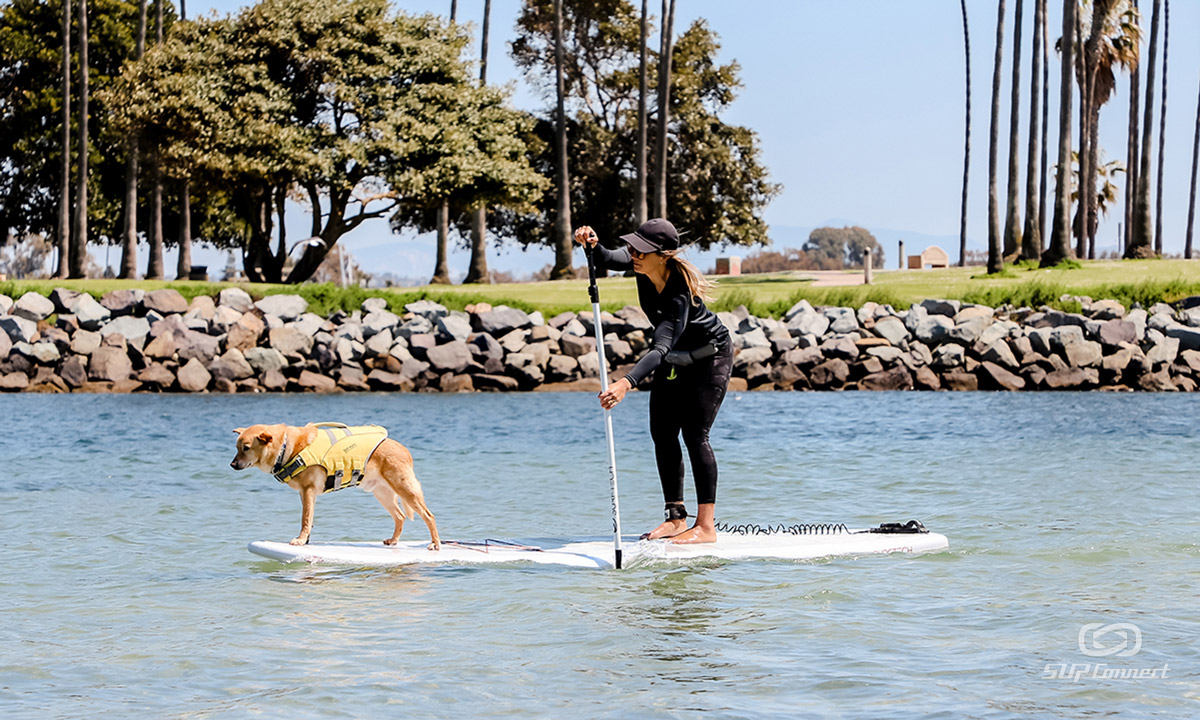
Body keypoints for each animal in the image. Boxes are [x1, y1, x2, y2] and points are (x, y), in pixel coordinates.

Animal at [229, 422, 441, 552]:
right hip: (382, 493)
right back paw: (394, 540)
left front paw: (300, 540)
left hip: (405, 489)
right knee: (400, 516)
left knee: (429, 515)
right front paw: (306, 540)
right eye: (237, 448)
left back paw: (435, 544)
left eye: (246, 448)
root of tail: (405, 449)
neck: (285, 447)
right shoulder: (305, 494)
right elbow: (309, 519)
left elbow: (305, 519)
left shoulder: (308, 491)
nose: (232, 464)